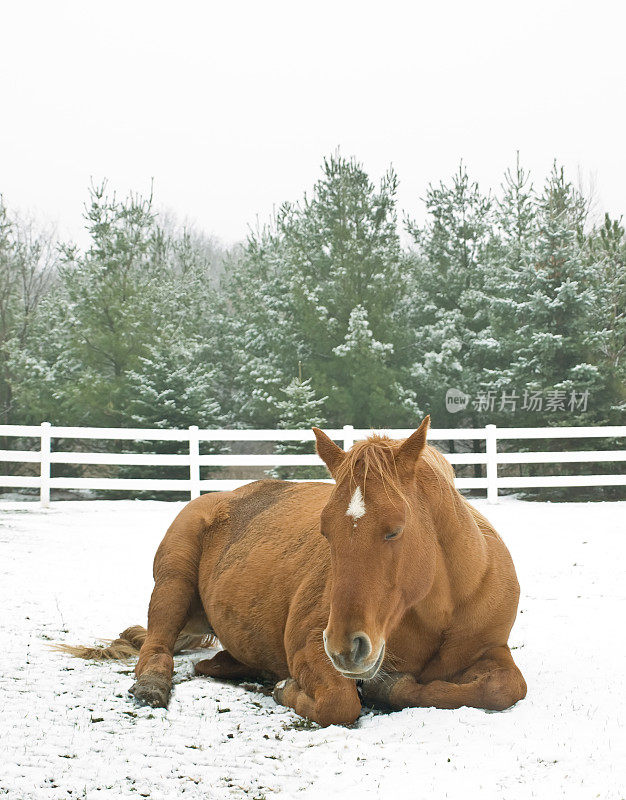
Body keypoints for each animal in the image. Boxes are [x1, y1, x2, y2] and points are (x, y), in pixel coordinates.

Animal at [59, 418, 528, 724]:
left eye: (395, 530)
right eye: (325, 530)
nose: (344, 647)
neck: (438, 608)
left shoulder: (491, 650)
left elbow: (505, 688)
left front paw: (389, 687)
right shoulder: (309, 645)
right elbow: (339, 704)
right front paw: (289, 689)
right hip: (172, 586)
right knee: (156, 648)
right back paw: (155, 684)